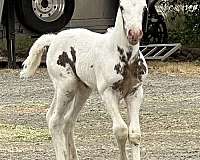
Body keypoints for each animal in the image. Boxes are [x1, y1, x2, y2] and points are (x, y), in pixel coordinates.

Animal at [20, 0, 148, 159]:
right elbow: (121, 131)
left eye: (144, 8)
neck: (124, 57)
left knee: (66, 120)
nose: (134, 33)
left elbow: (135, 134)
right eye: (121, 7)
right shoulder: (108, 92)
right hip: (67, 87)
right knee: (55, 121)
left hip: (81, 89)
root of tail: (54, 38)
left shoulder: (135, 92)